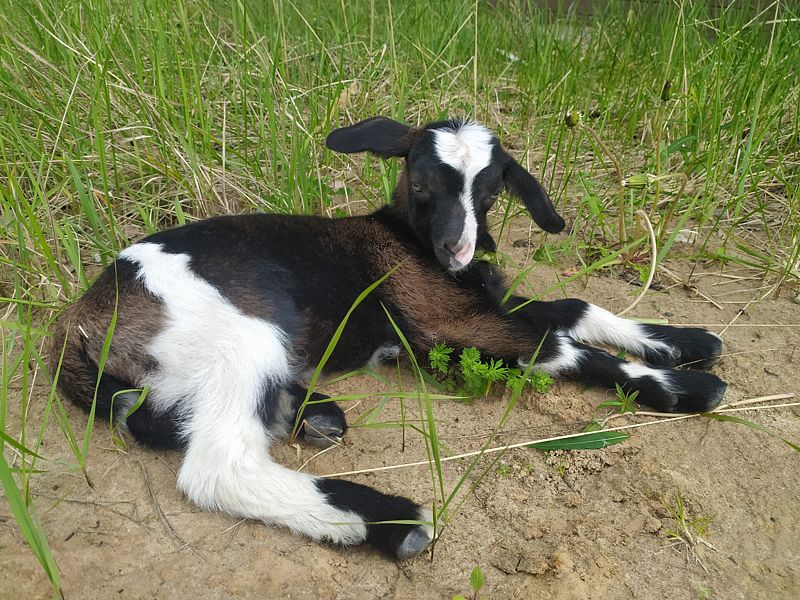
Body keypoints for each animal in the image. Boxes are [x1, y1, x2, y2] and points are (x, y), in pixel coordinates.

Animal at [48, 116, 727, 561]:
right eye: (422, 183)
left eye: (491, 191)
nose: (459, 250)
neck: (408, 240)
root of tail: (77, 318)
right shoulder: (445, 322)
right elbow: (563, 348)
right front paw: (688, 388)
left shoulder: (482, 301)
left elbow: (577, 309)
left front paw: (689, 339)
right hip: (243, 335)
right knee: (220, 466)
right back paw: (392, 521)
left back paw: (311, 413)